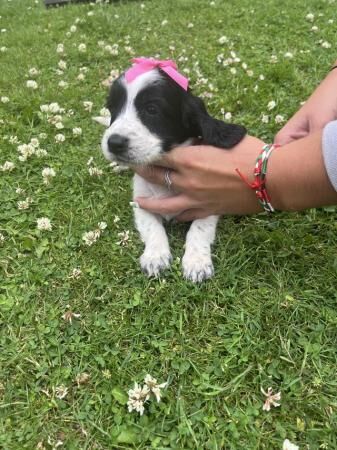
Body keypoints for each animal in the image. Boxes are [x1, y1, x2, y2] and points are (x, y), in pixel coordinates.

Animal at [97, 59, 244, 282]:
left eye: (151, 109)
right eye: (112, 107)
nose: (114, 143)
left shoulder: (210, 203)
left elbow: (199, 229)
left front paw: (196, 262)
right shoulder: (141, 202)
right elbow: (153, 227)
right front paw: (155, 257)